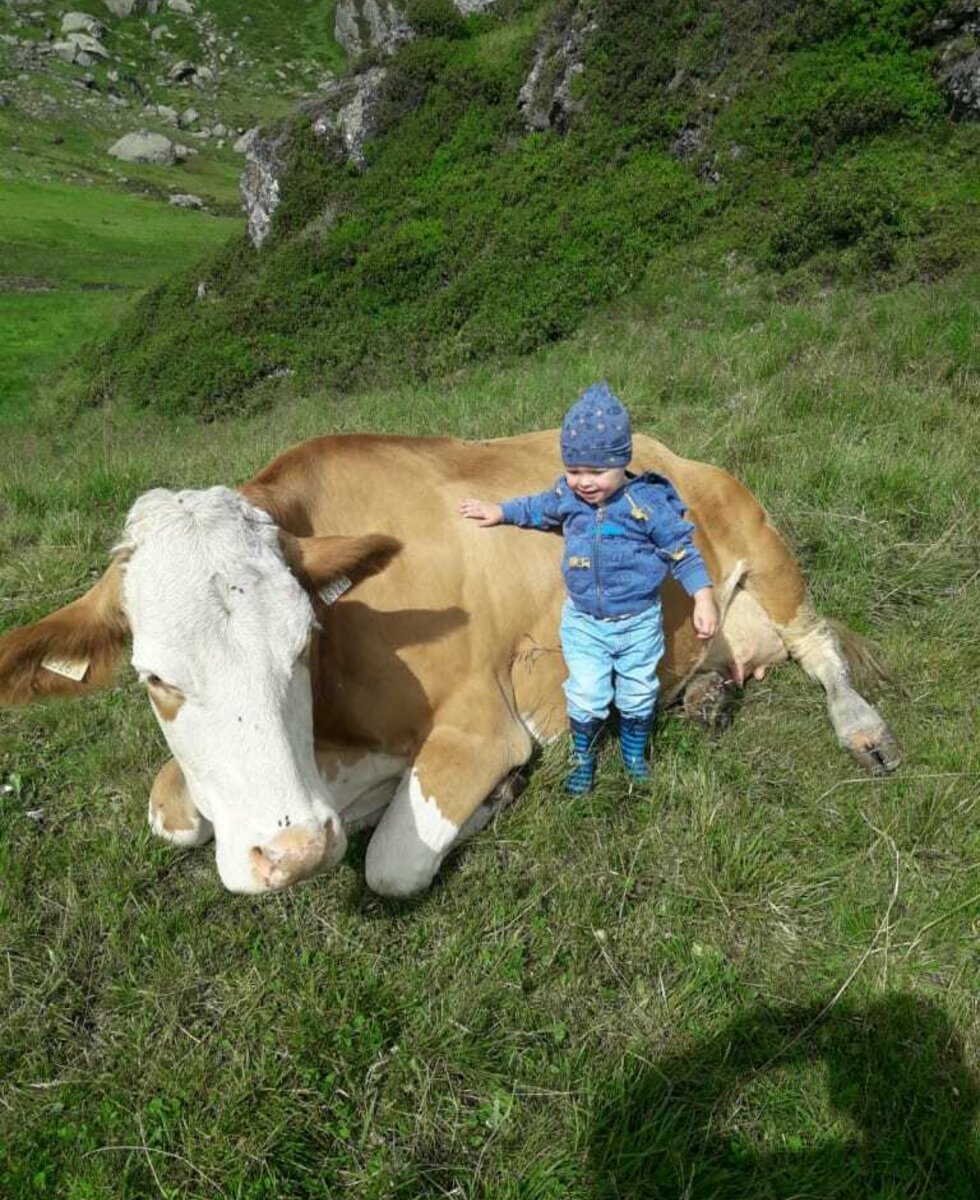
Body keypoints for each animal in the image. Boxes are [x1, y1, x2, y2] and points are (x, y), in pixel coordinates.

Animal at [0, 429, 897, 892]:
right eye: (156, 678)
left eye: (301, 644)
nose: (294, 852)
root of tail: (666, 442)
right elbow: (169, 810)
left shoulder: (480, 723)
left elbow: (392, 863)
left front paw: (491, 796)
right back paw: (709, 692)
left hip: (764, 545)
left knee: (819, 645)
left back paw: (862, 729)